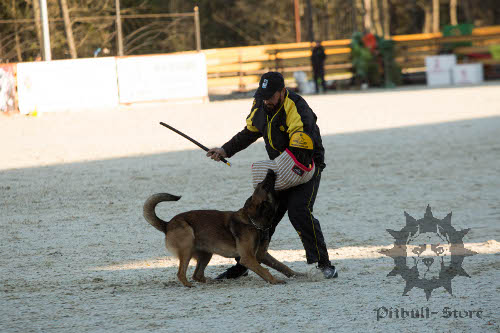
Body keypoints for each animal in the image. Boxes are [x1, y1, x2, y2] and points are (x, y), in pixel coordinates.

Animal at [143, 169, 302, 286]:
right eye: (263, 185)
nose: (270, 170)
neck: (253, 222)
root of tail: (167, 224)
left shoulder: (261, 255)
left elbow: (281, 265)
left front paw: (298, 275)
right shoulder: (248, 258)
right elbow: (265, 270)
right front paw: (275, 280)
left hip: (206, 254)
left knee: (197, 275)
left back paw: (212, 282)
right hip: (187, 244)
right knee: (182, 273)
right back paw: (189, 285)